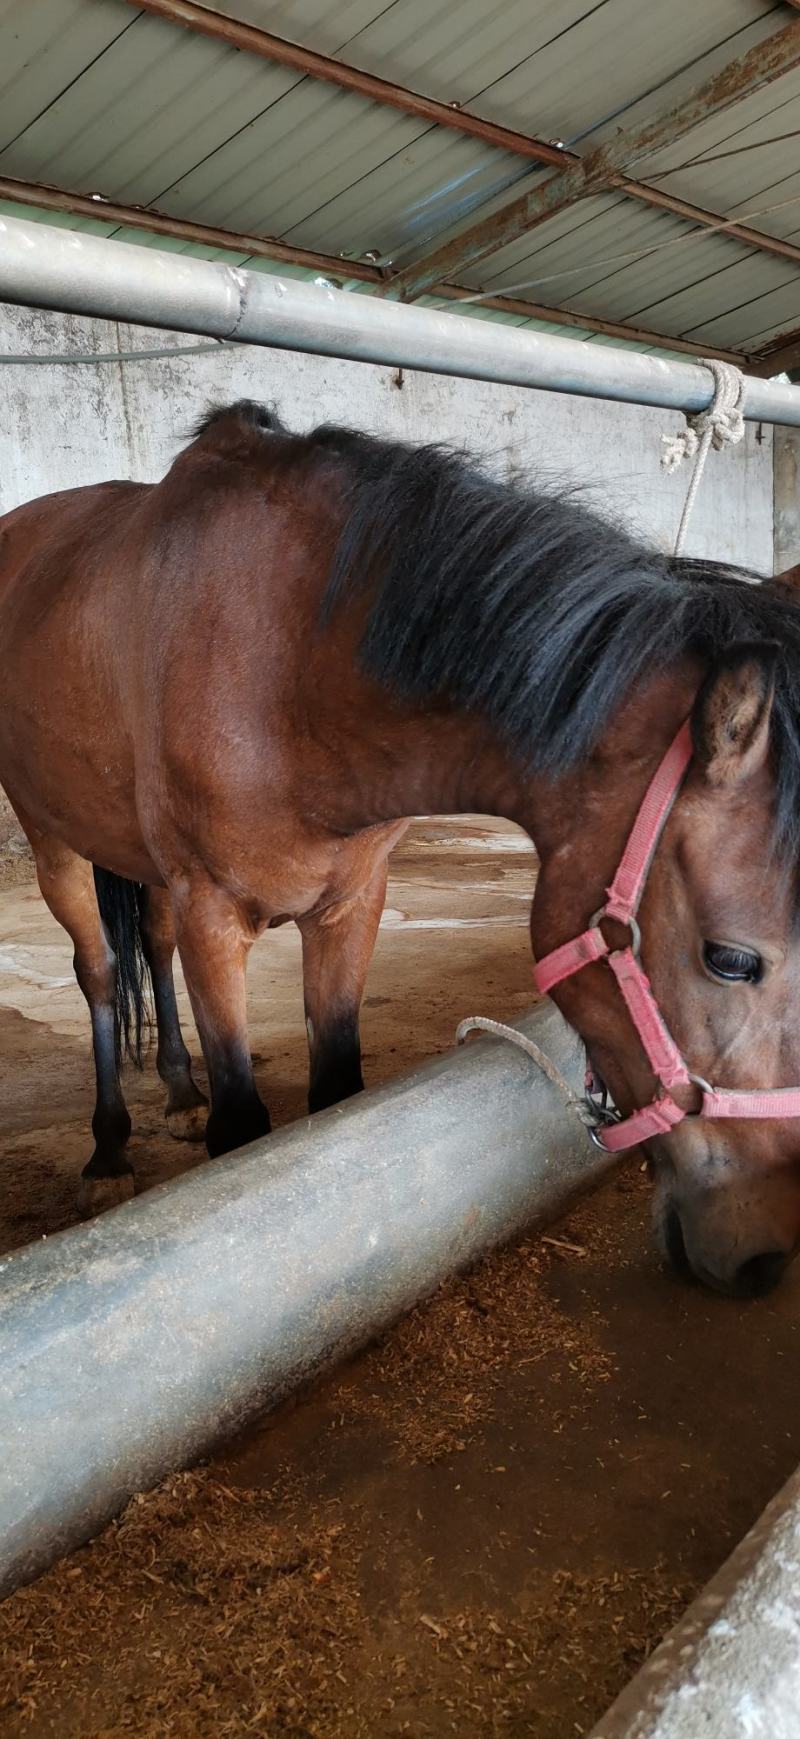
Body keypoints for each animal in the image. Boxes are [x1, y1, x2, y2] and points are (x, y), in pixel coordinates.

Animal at [3, 399, 800, 1300]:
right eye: (731, 959)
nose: (764, 1258)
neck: (284, 661)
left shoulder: (352, 904)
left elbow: (335, 1092)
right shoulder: (214, 914)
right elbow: (243, 1127)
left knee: (152, 943)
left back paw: (177, 1090)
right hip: (53, 840)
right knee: (101, 971)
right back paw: (108, 1150)